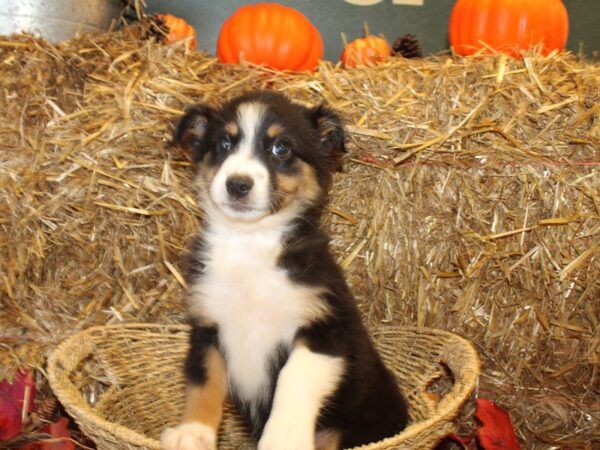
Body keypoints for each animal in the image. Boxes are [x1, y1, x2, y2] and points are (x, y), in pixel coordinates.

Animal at [162, 92, 410, 450]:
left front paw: (283, 440)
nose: (237, 184)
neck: (250, 242)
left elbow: (293, 379)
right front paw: (192, 432)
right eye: (223, 143)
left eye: (281, 148)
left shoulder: (327, 328)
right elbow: (202, 380)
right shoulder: (207, 327)